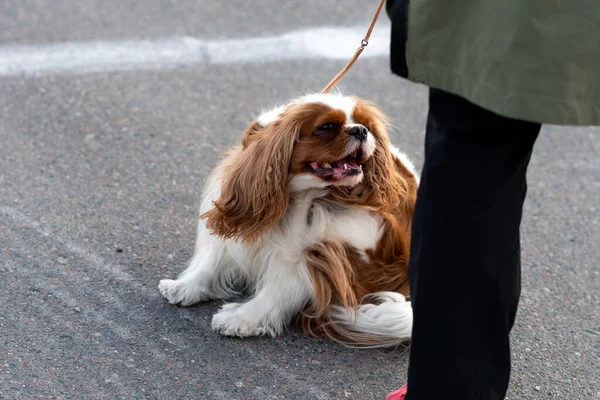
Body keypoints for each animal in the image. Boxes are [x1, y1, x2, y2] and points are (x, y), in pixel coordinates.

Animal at [162, 93, 420, 346]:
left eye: (366, 126)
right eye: (326, 126)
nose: (361, 130)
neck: (296, 194)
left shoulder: (310, 252)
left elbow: (277, 290)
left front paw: (242, 318)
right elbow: (213, 258)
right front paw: (185, 286)